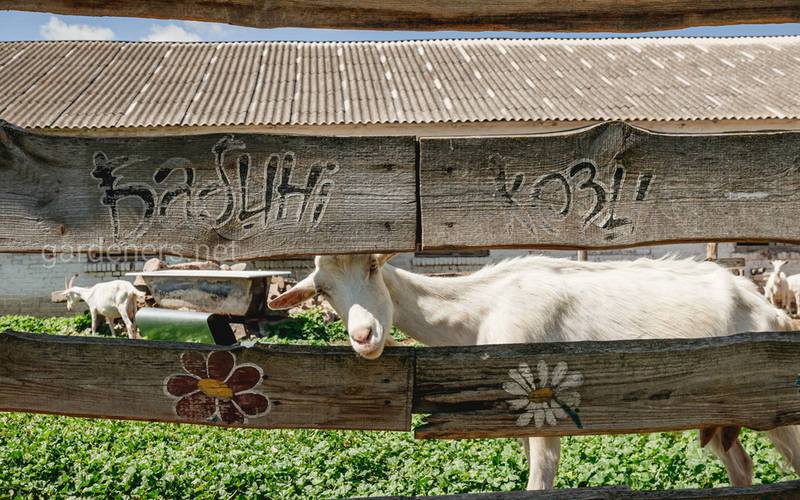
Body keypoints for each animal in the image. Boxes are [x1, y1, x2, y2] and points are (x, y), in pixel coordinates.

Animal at [270, 256, 800, 490]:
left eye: (374, 269)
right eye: (323, 289)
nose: (365, 336)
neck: (480, 308)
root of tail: (769, 310)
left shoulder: (544, 409)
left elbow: (539, 483)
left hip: (776, 406)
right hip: (723, 413)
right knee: (742, 466)